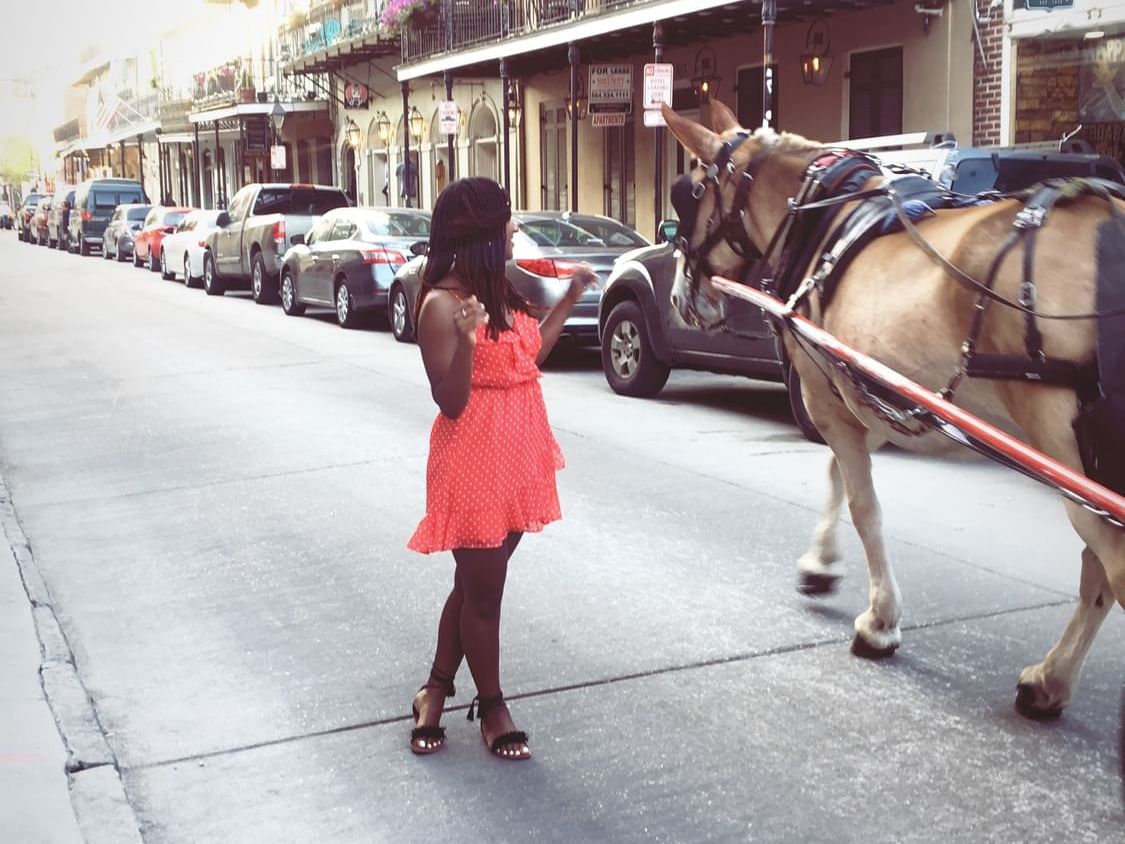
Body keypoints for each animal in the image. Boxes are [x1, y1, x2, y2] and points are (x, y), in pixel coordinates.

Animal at [657, 100, 1125, 720]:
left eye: (687, 195)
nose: (680, 297)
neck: (823, 215)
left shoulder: (829, 397)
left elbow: (864, 507)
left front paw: (879, 623)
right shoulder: (871, 392)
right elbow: (836, 475)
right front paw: (820, 566)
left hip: (1071, 461)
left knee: (1109, 567)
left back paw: (1051, 675)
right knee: (1099, 572)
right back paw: (1051, 680)